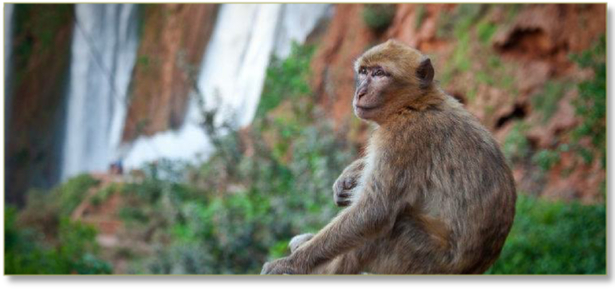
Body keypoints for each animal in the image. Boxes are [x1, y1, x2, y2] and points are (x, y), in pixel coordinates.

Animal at [262, 39, 516, 276]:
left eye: (379, 74)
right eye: (364, 71)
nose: (360, 92)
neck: (414, 103)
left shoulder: (403, 137)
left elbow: (373, 213)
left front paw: (289, 264)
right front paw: (349, 176)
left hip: (423, 260)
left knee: (390, 228)